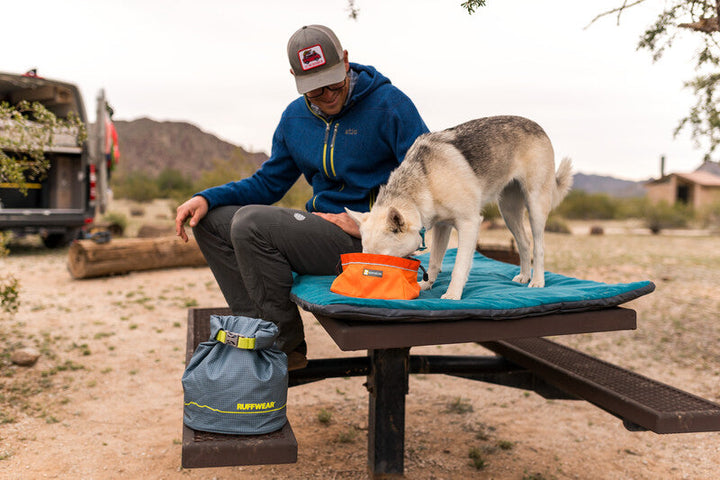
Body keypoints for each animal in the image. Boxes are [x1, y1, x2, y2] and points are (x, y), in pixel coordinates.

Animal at [346, 114, 572, 298]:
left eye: (382, 259)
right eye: (364, 254)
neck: (426, 180)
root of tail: (537, 125)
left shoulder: (469, 223)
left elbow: (459, 266)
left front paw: (453, 294)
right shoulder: (442, 226)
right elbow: (435, 261)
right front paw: (426, 285)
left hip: (535, 206)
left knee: (538, 246)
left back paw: (538, 281)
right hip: (508, 212)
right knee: (524, 242)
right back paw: (525, 275)